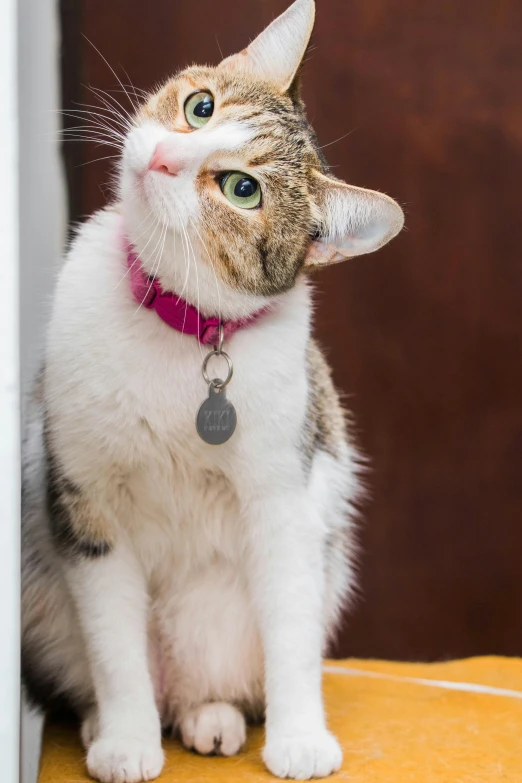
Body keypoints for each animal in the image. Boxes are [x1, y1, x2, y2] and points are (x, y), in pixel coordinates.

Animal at [21, 1, 402, 783]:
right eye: (201, 106)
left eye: (242, 190)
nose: (166, 157)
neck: (178, 322)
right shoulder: (89, 502)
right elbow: (115, 644)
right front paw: (128, 739)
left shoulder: (286, 494)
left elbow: (291, 626)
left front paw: (299, 735)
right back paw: (119, 721)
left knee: (218, 676)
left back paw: (214, 716)